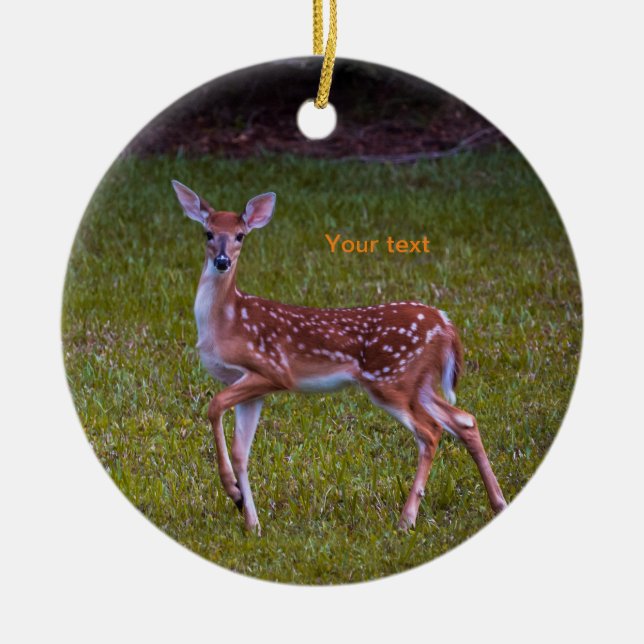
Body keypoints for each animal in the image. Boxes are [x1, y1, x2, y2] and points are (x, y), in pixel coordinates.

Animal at [171, 180, 508, 535]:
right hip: (419, 382)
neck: (227, 320)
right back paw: (497, 502)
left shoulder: (272, 371)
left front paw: (233, 493)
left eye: (240, 235)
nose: (222, 261)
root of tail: (445, 323)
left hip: (391, 379)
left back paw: (406, 519)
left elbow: (214, 406)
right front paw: (251, 521)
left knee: (430, 432)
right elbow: (241, 452)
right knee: (464, 420)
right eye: (208, 233)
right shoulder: (249, 386)